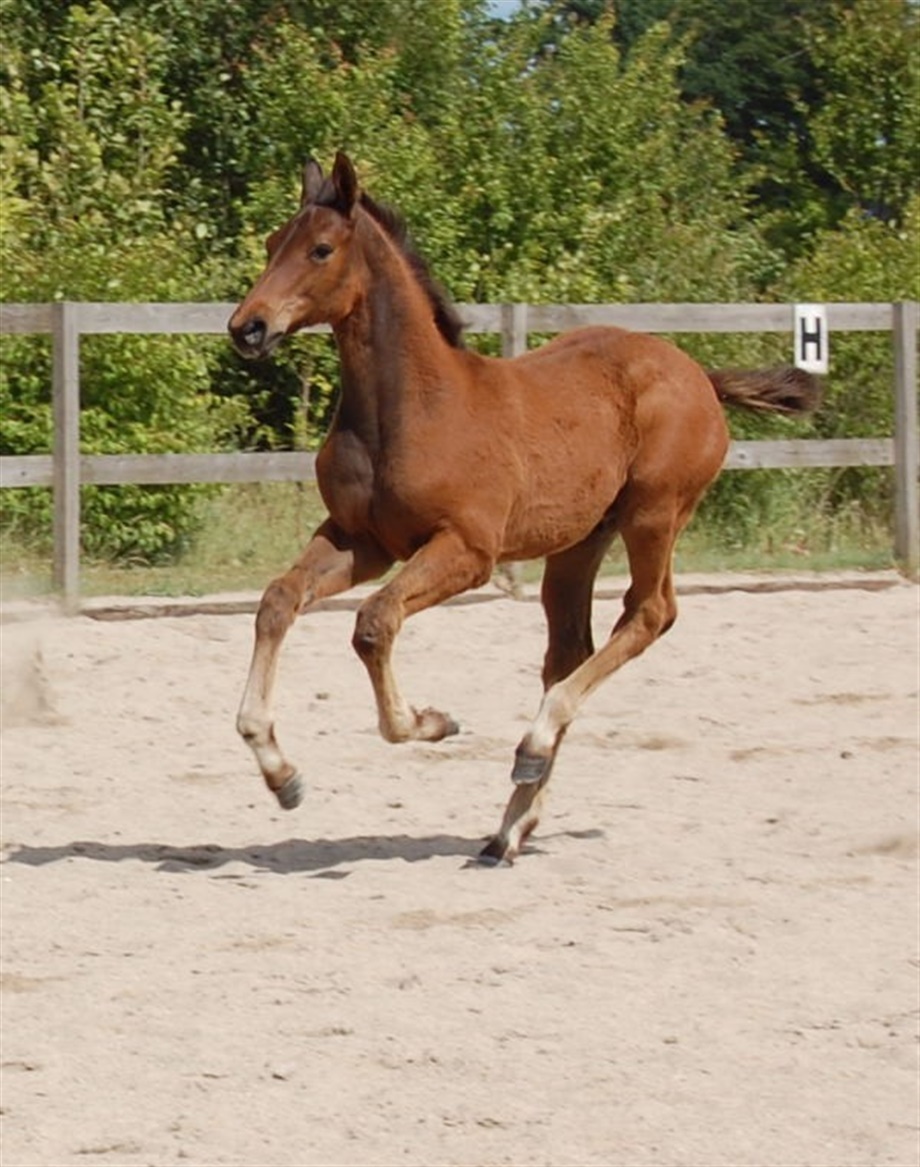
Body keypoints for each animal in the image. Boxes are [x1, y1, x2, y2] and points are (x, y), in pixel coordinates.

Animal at [228, 151, 820, 864]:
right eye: (271, 244)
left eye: (321, 249)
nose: (248, 328)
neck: (411, 408)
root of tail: (700, 377)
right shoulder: (358, 539)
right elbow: (278, 601)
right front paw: (280, 773)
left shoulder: (469, 550)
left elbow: (374, 623)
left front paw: (431, 722)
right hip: (579, 543)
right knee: (570, 646)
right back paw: (511, 824)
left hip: (655, 514)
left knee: (649, 613)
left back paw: (531, 751)